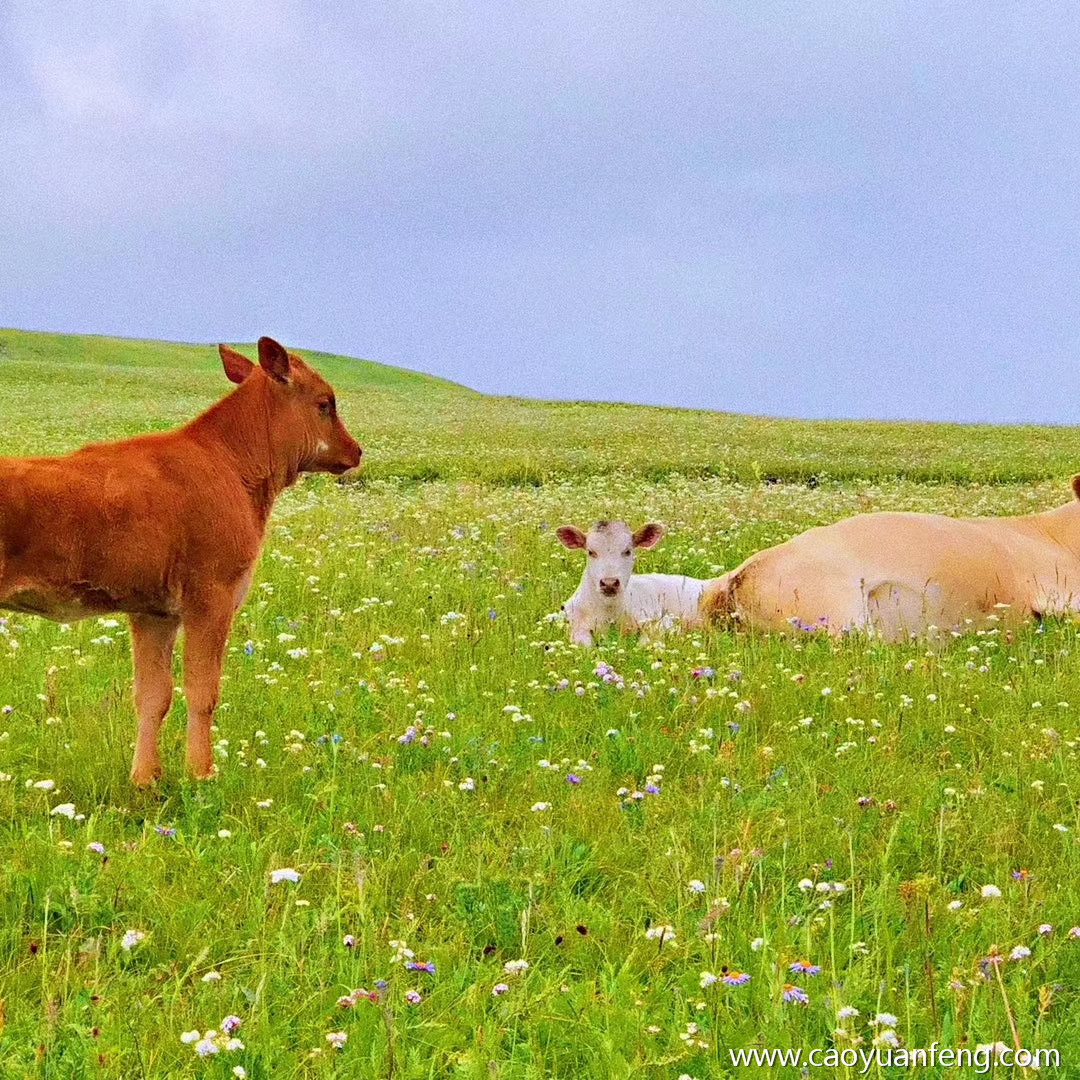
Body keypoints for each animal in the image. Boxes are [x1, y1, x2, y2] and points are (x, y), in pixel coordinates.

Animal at [0, 336, 362, 786]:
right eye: (325, 403)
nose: (356, 451)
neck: (232, 465)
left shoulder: (154, 611)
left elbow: (153, 696)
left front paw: (144, 781)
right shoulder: (212, 597)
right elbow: (202, 692)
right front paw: (201, 774)